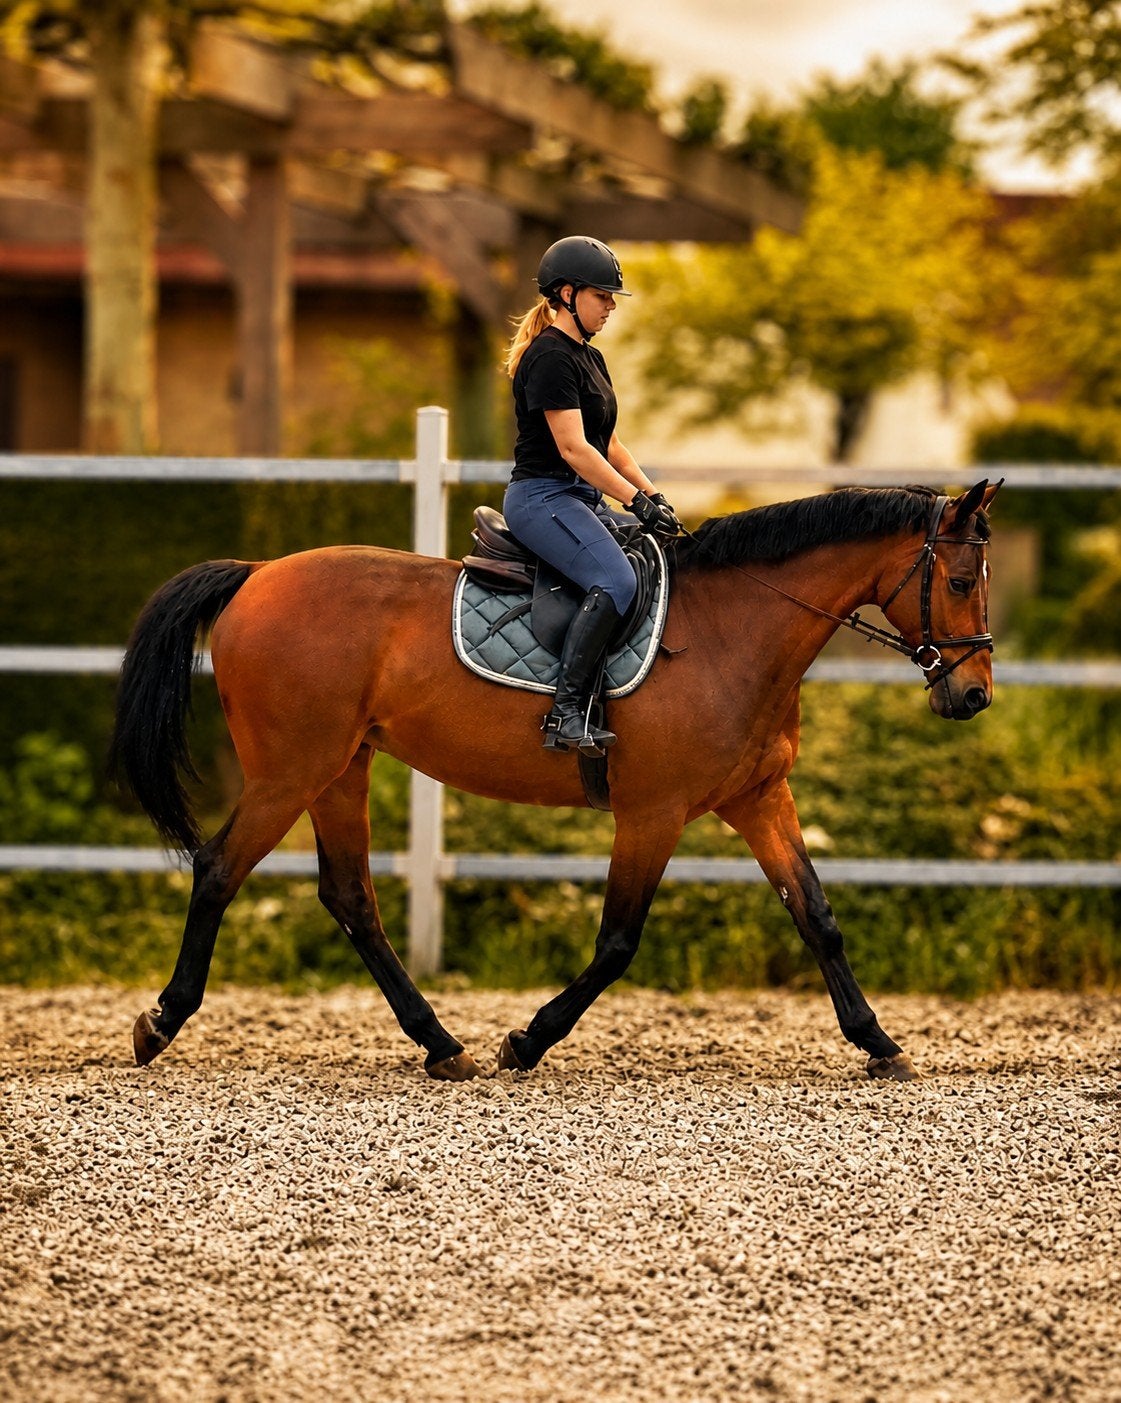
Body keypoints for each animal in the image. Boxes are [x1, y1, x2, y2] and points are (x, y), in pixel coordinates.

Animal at [111, 478, 1001, 1083]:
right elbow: (617, 942)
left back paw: (440, 1043)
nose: (973, 695)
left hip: (339, 769)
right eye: (959, 582)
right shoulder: (651, 812)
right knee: (219, 869)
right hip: (289, 770)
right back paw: (161, 1021)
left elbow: (816, 915)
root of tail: (257, 572)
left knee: (351, 897)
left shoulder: (758, 799)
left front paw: (878, 1042)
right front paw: (527, 1039)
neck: (733, 631)